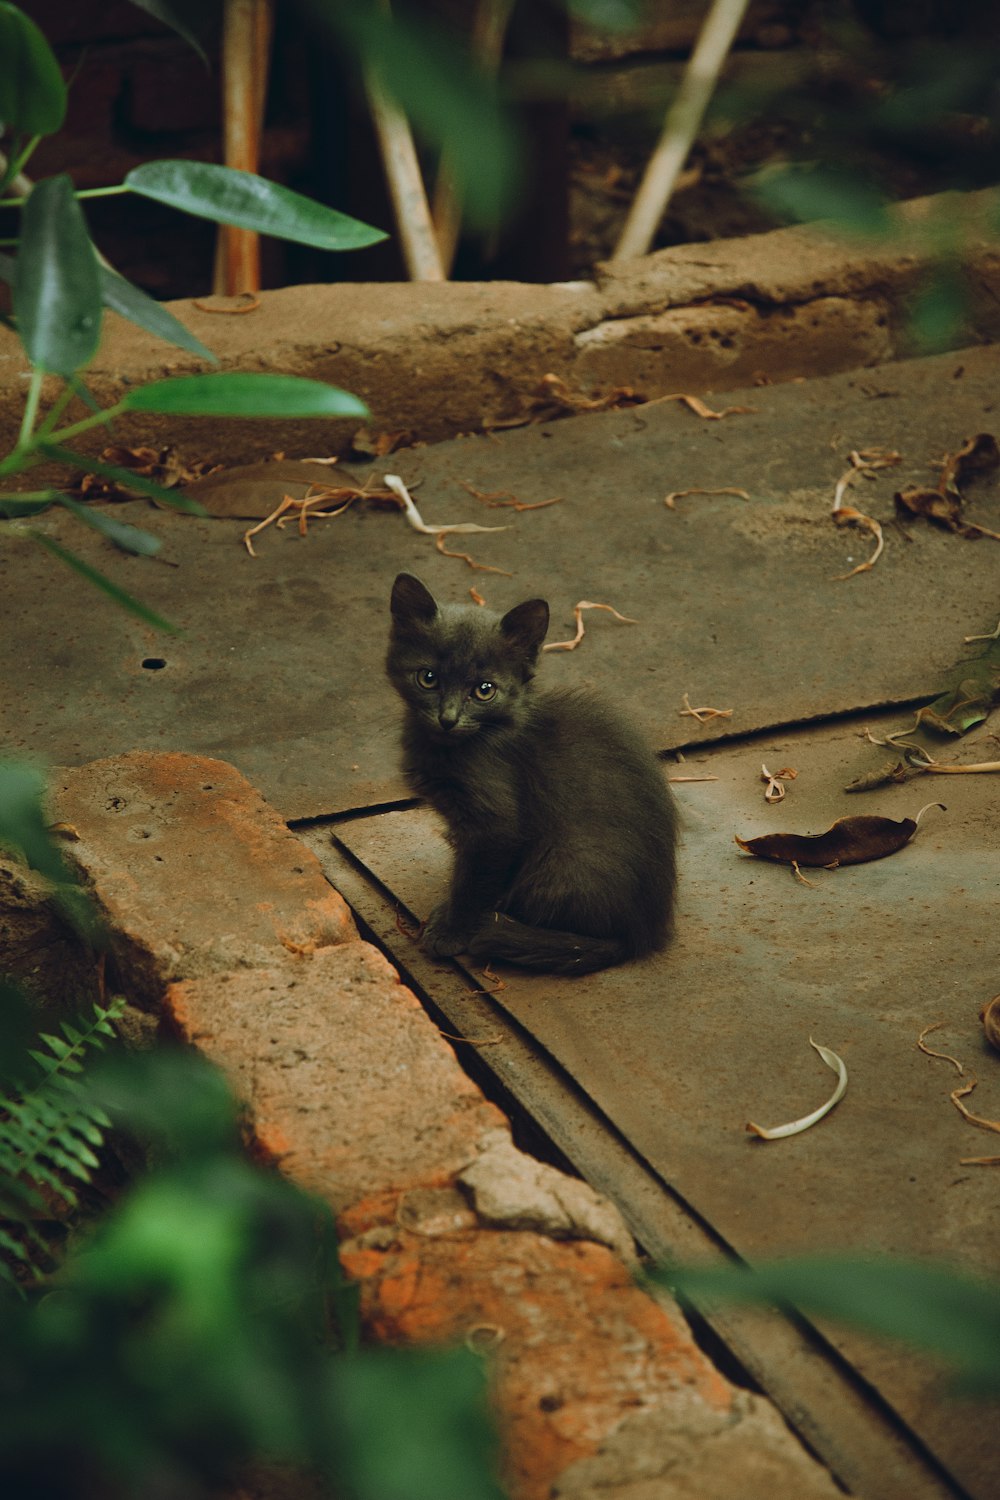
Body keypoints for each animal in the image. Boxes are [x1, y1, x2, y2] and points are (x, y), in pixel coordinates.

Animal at [386, 570, 677, 972]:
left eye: (484, 690)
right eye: (427, 678)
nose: (448, 719)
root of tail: (643, 936)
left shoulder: (496, 826)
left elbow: (474, 880)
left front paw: (452, 931)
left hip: (566, 860)